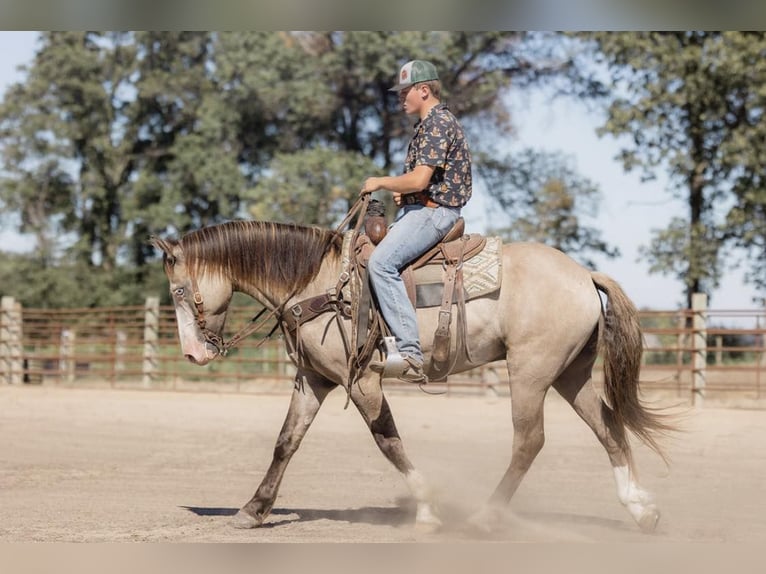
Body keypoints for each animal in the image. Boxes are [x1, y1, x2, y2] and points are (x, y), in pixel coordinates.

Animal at [152, 219, 680, 536]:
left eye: (178, 291)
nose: (193, 353)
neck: (318, 284)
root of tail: (584, 275)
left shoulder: (360, 382)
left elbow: (388, 441)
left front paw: (426, 509)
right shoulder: (312, 380)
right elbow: (286, 442)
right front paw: (253, 510)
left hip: (530, 372)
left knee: (529, 440)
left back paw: (485, 516)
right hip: (571, 372)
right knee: (608, 427)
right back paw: (642, 509)